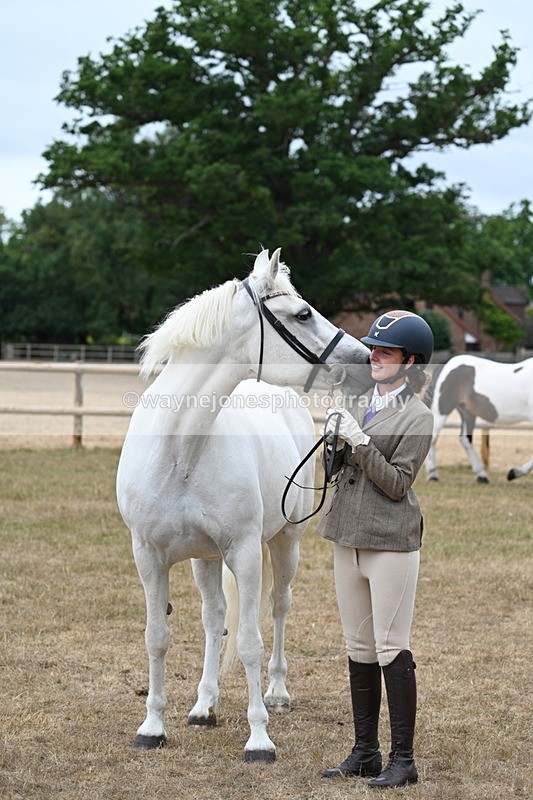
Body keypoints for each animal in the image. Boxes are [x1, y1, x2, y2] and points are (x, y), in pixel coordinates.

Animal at [116, 248, 370, 762]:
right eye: (303, 314)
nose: (365, 359)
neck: (180, 451)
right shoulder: (148, 557)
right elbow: (158, 638)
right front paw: (153, 727)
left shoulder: (247, 552)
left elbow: (251, 642)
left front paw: (259, 738)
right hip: (205, 558)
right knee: (215, 619)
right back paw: (203, 704)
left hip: (284, 545)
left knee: (277, 609)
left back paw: (276, 693)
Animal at [425, 354, 533, 483]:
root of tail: (444, 366)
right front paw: (514, 473)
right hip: (443, 409)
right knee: (433, 437)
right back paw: (432, 474)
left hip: (468, 413)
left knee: (465, 440)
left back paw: (482, 475)